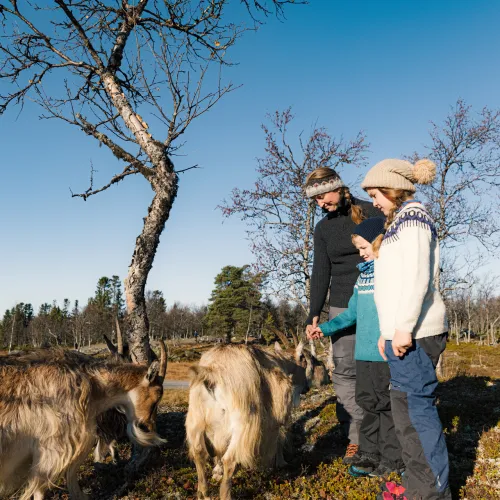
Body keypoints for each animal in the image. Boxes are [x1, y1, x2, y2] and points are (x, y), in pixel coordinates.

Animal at [185, 342, 320, 500]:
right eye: (304, 361)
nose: (306, 388)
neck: (283, 362)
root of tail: (211, 374)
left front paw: (217, 472)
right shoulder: (275, 416)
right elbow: (279, 438)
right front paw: (280, 463)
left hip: (195, 421)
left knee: (199, 453)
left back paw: (203, 493)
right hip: (244, 424)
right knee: (229, 459)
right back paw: (226, 494)